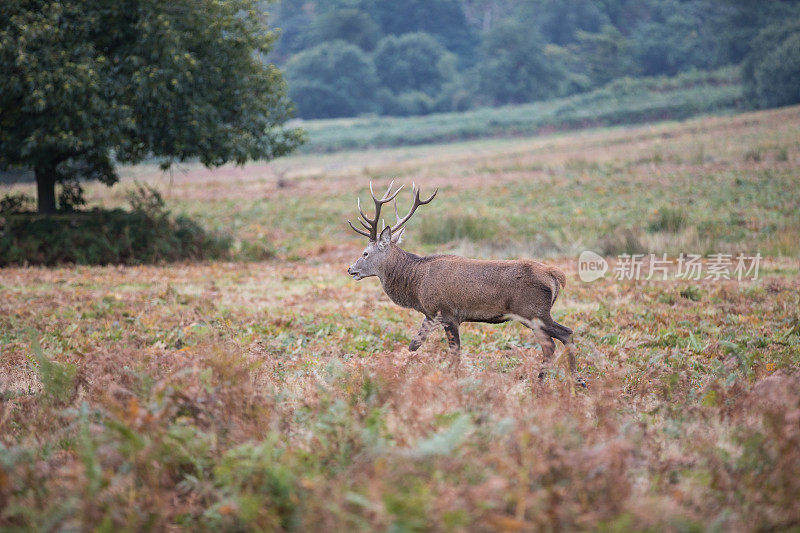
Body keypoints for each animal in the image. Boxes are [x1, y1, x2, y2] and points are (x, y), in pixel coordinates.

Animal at [346, 182, 580, 382]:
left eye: (365, 253)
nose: (350, 269)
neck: (416, 283)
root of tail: (555, 275)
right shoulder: (432, 315)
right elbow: (415, 345)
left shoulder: (447, 312)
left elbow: (454, 353)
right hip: (536, 314)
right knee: (563, 336)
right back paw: (576, 382)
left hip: (532, 311)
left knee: (555, 342)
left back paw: (546, 384)